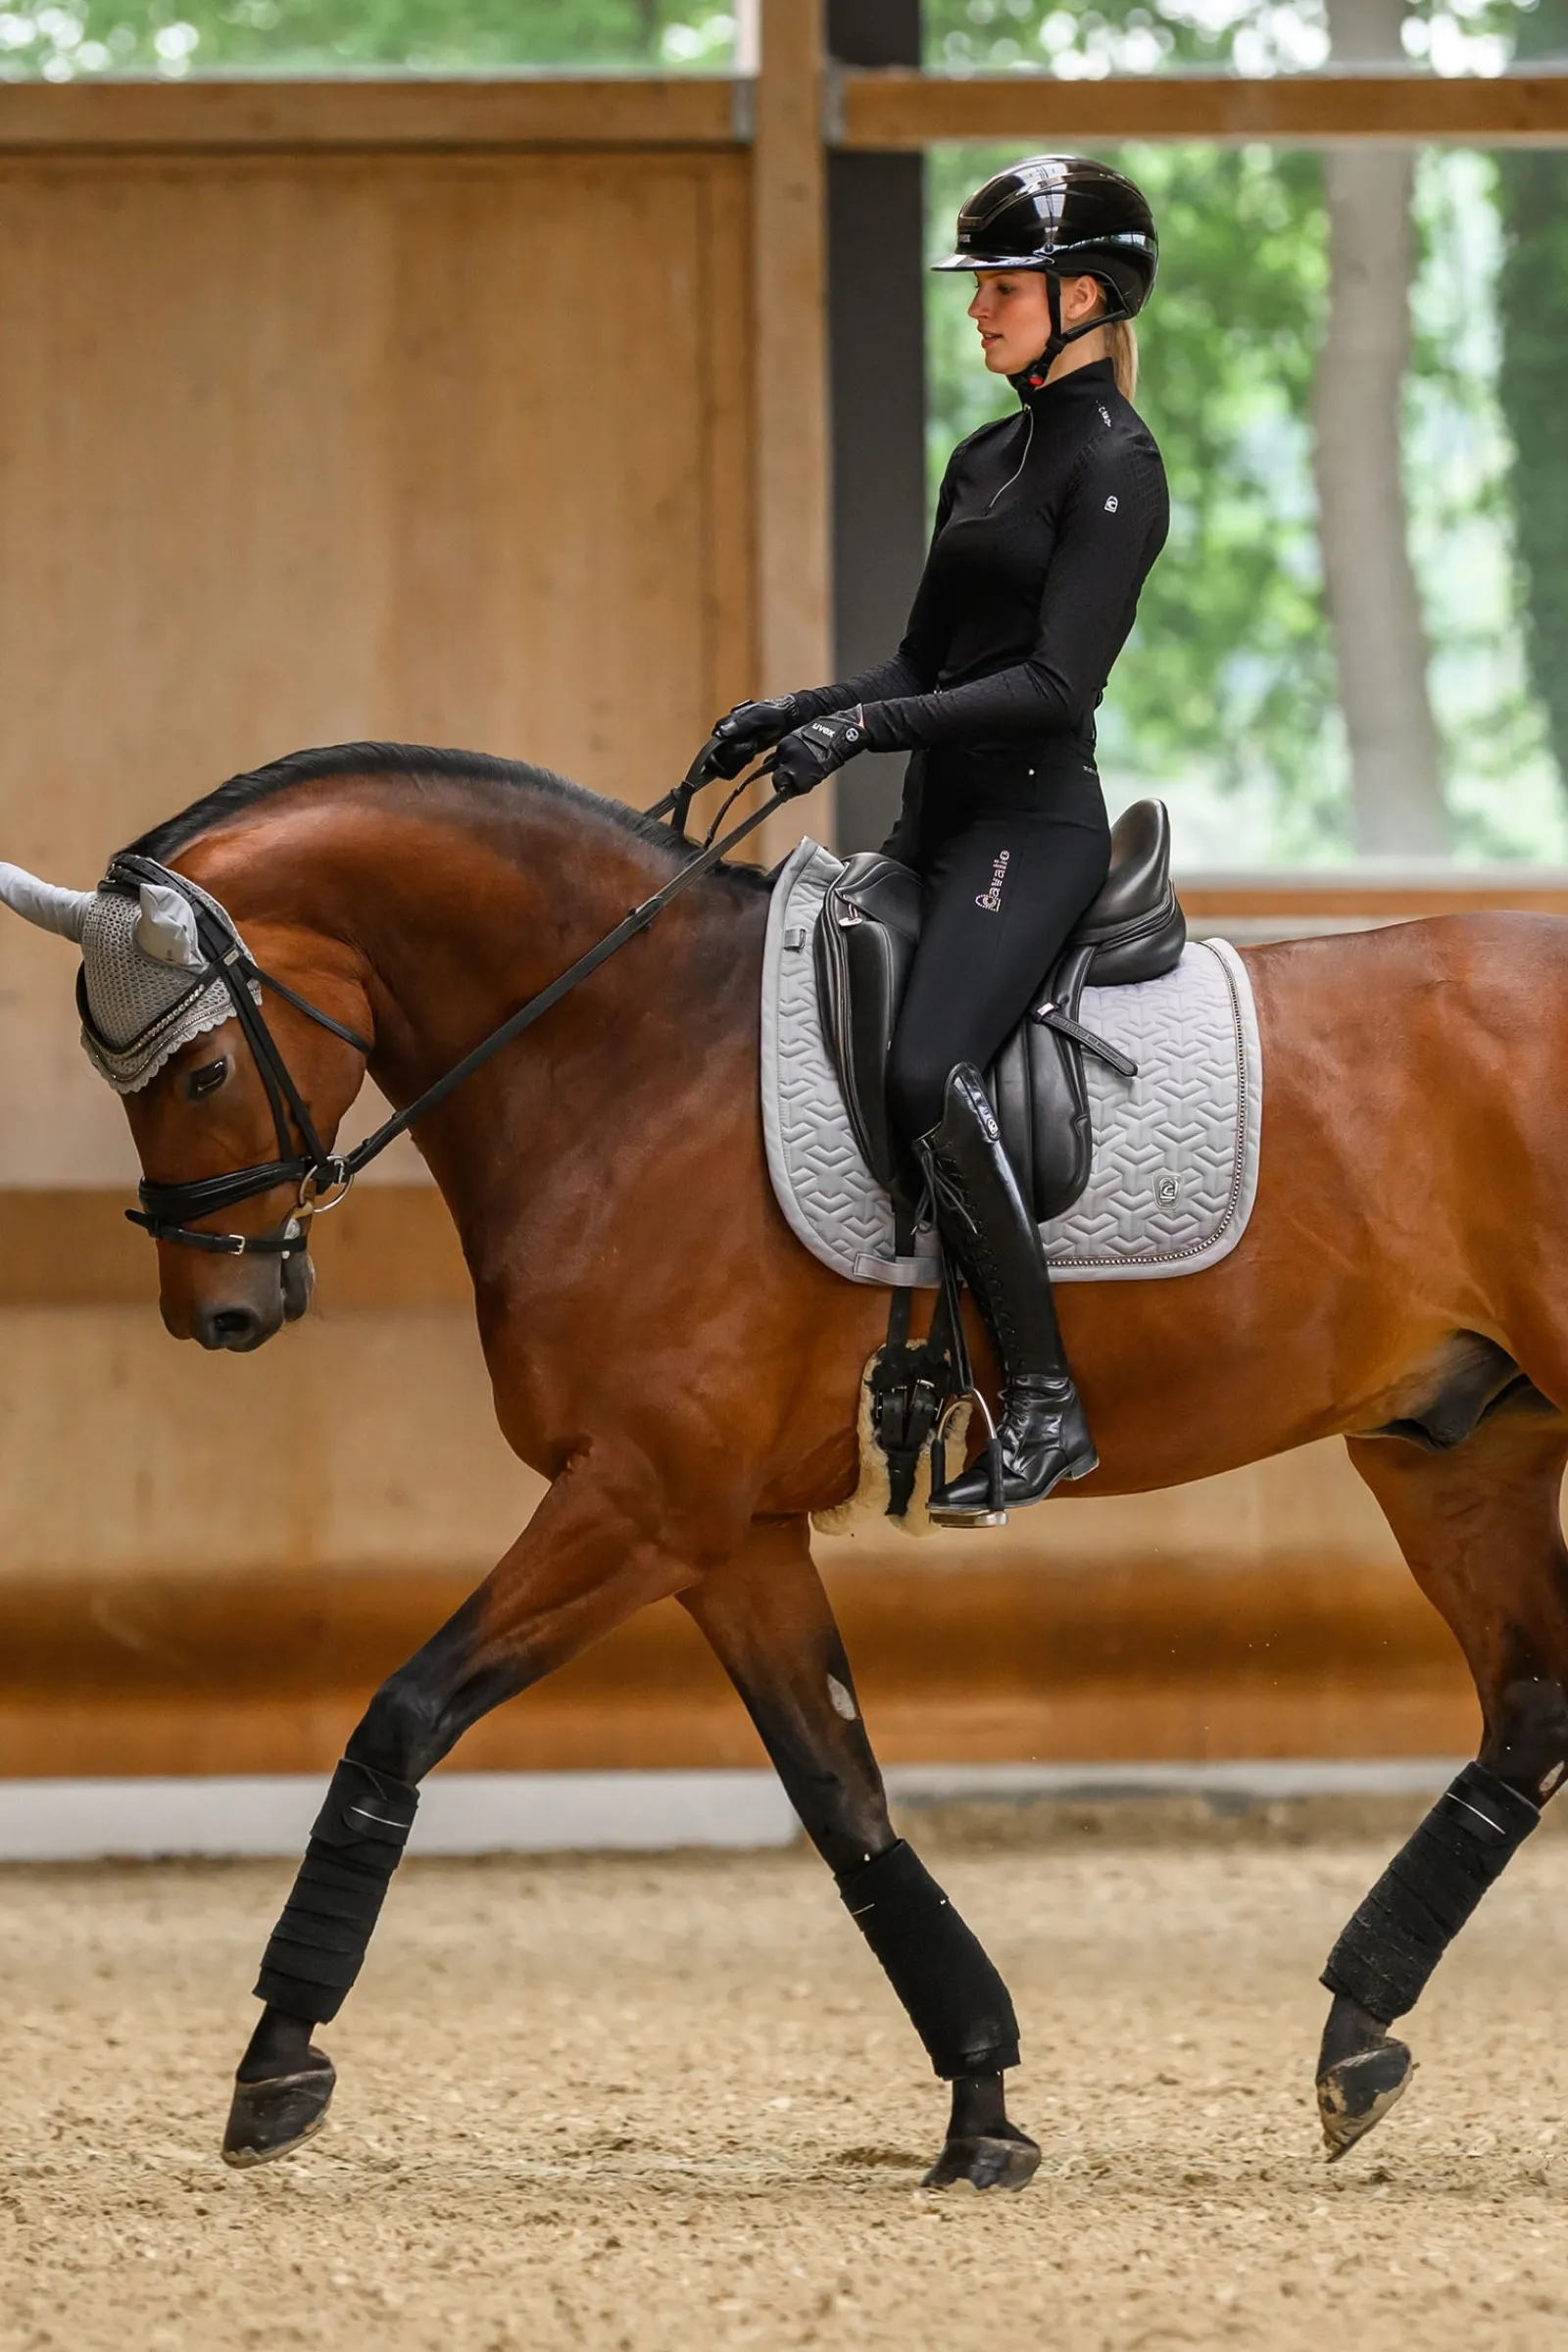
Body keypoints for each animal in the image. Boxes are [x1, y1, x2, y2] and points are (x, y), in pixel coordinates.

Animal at [6, 738, 1568, 2189]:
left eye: (204, 1066)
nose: (220, 1313)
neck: (626, 1053)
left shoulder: (639, 1502)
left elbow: (402, 1717)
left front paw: (276, 2062)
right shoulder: (731, 1534)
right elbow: (843, 1799)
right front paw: (981, 2105)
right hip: (1454, 1449)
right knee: (1528, 1715)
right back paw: (1356, 2034)